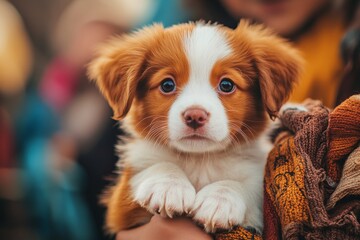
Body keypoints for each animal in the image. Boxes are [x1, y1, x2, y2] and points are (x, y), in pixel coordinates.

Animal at [88, 19, 302, 233]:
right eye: (167, 85)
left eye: (226, 85)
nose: (195, 116)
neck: (199, 160)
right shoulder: (120, 210)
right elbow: (157, 166)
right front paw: (168, 185)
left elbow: (247, 186)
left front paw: (220, 199)